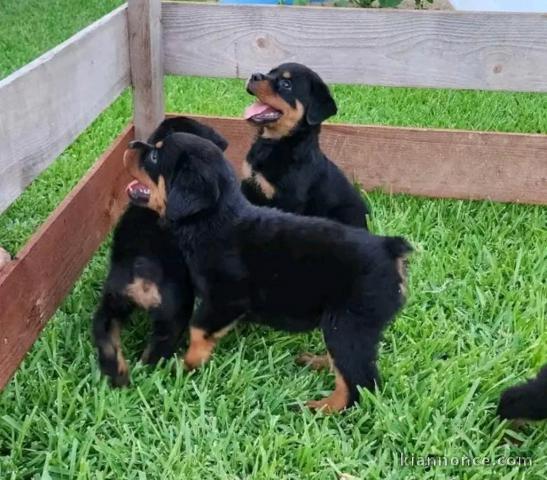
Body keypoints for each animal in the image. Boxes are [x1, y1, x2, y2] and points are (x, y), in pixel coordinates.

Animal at [92, 116, 227, 386]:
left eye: (153, 146)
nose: (133, 143)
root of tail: (146, 268)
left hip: (114, 301)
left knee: (104, 333)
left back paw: (118, 375)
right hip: (174, 315)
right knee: (154, 354)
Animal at [121, 131, 412, 412]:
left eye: (155, 156)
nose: (132, 144)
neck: (211, 221)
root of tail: (390, 249)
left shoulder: (224, 298)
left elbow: (198, 329)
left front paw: (186, 365)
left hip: (348, 324)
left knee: (359, 382)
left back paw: (322, 408)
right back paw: (318, 363)